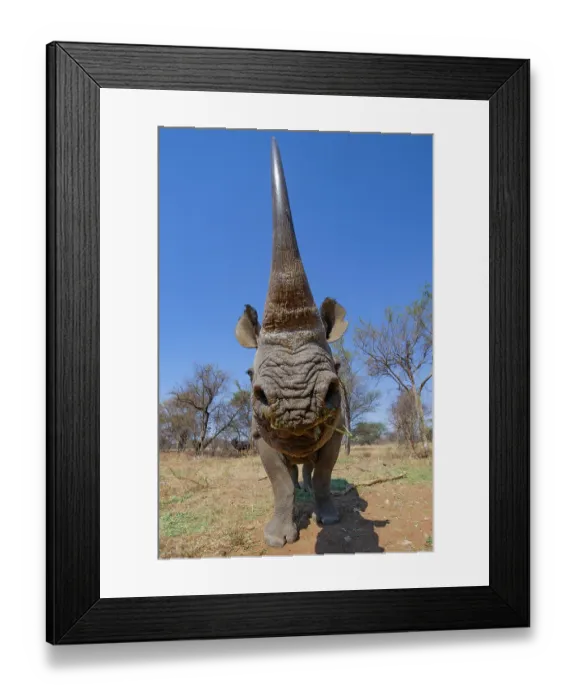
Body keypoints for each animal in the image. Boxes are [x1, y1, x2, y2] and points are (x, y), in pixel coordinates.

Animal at [234, 138, 348, 548]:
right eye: (249, 375)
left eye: (337, 368)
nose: (297, 404)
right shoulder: (258, 434)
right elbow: (279, 482)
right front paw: (277, 538)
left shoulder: (338, 425)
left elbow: (326, 472)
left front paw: (328, 518)